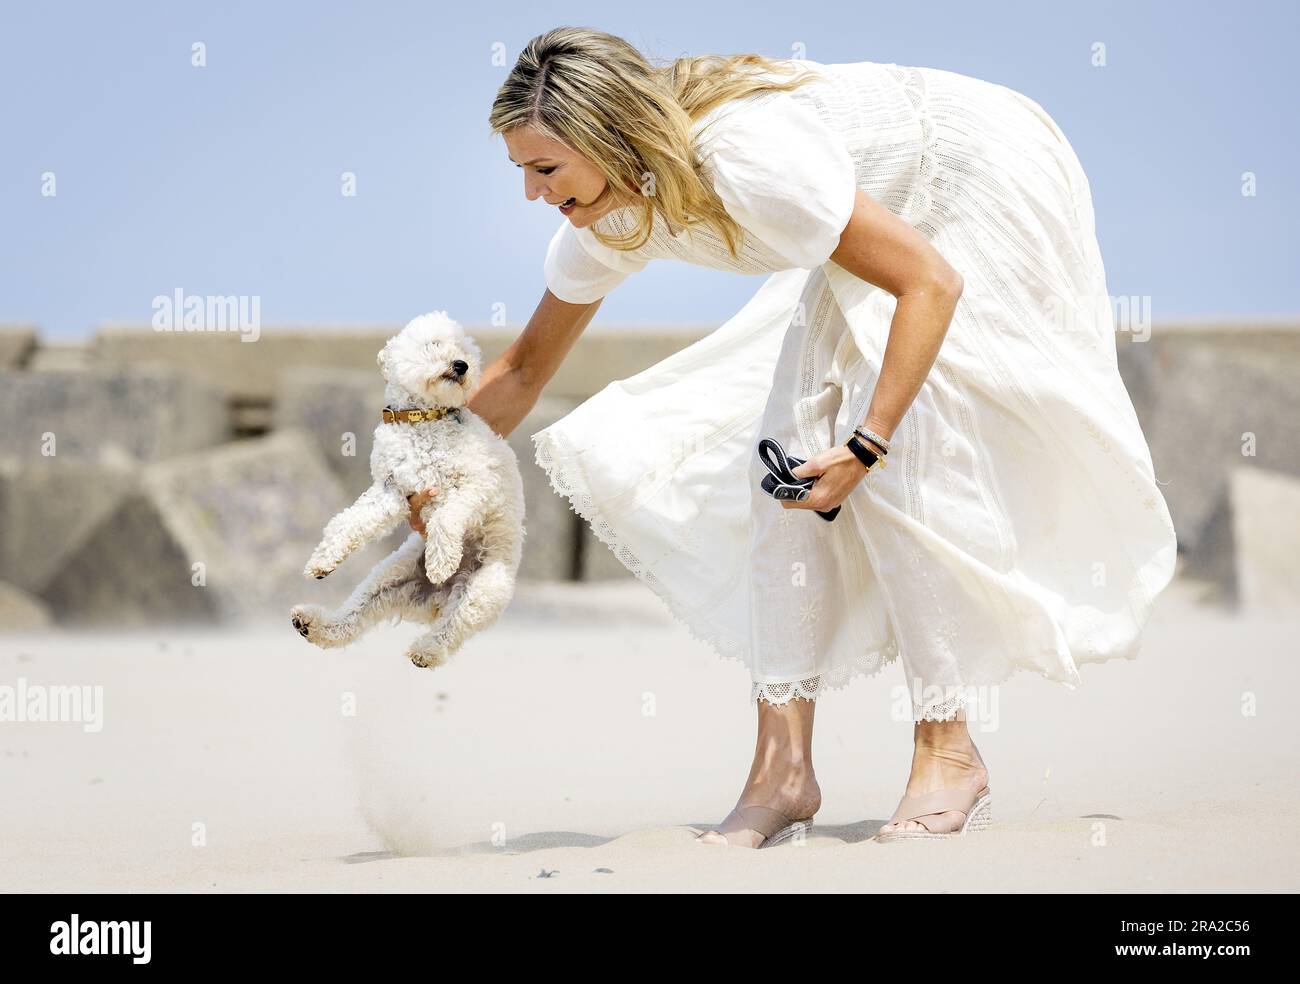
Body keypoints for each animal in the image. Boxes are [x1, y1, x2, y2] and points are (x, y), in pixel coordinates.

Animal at [289, 310, 522, 670]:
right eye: (433, 345)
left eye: (465, 351)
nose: (461, 365)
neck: (423, 418)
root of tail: (438, 597)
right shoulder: (392, 490)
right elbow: (349, 522)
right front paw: (323, 559)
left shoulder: (476, 487)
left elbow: (446, 518)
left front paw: (441, 561)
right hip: (390, 579)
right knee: (353, 617)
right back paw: (314, 625)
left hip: (483, 589)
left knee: (452, 627)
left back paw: (426, 650)